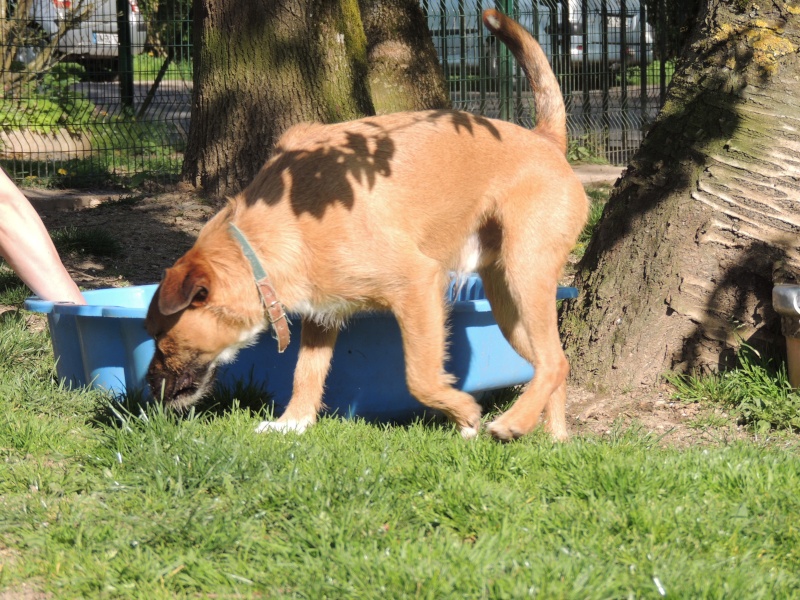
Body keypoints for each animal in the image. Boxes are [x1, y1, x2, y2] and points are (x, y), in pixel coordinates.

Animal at [145, 9, 588, 440]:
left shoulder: (417, 285)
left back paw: (514, 423)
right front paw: (292, 423)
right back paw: (553, 438)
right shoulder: (321, 314)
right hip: (506, 303)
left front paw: (463, 413)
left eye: (158, 336)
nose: (147, 388)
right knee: (549, 365)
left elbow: (421, 378)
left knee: (555, 361)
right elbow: (306, 374)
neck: (265, 241)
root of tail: (546, 140)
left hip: (525, 274)